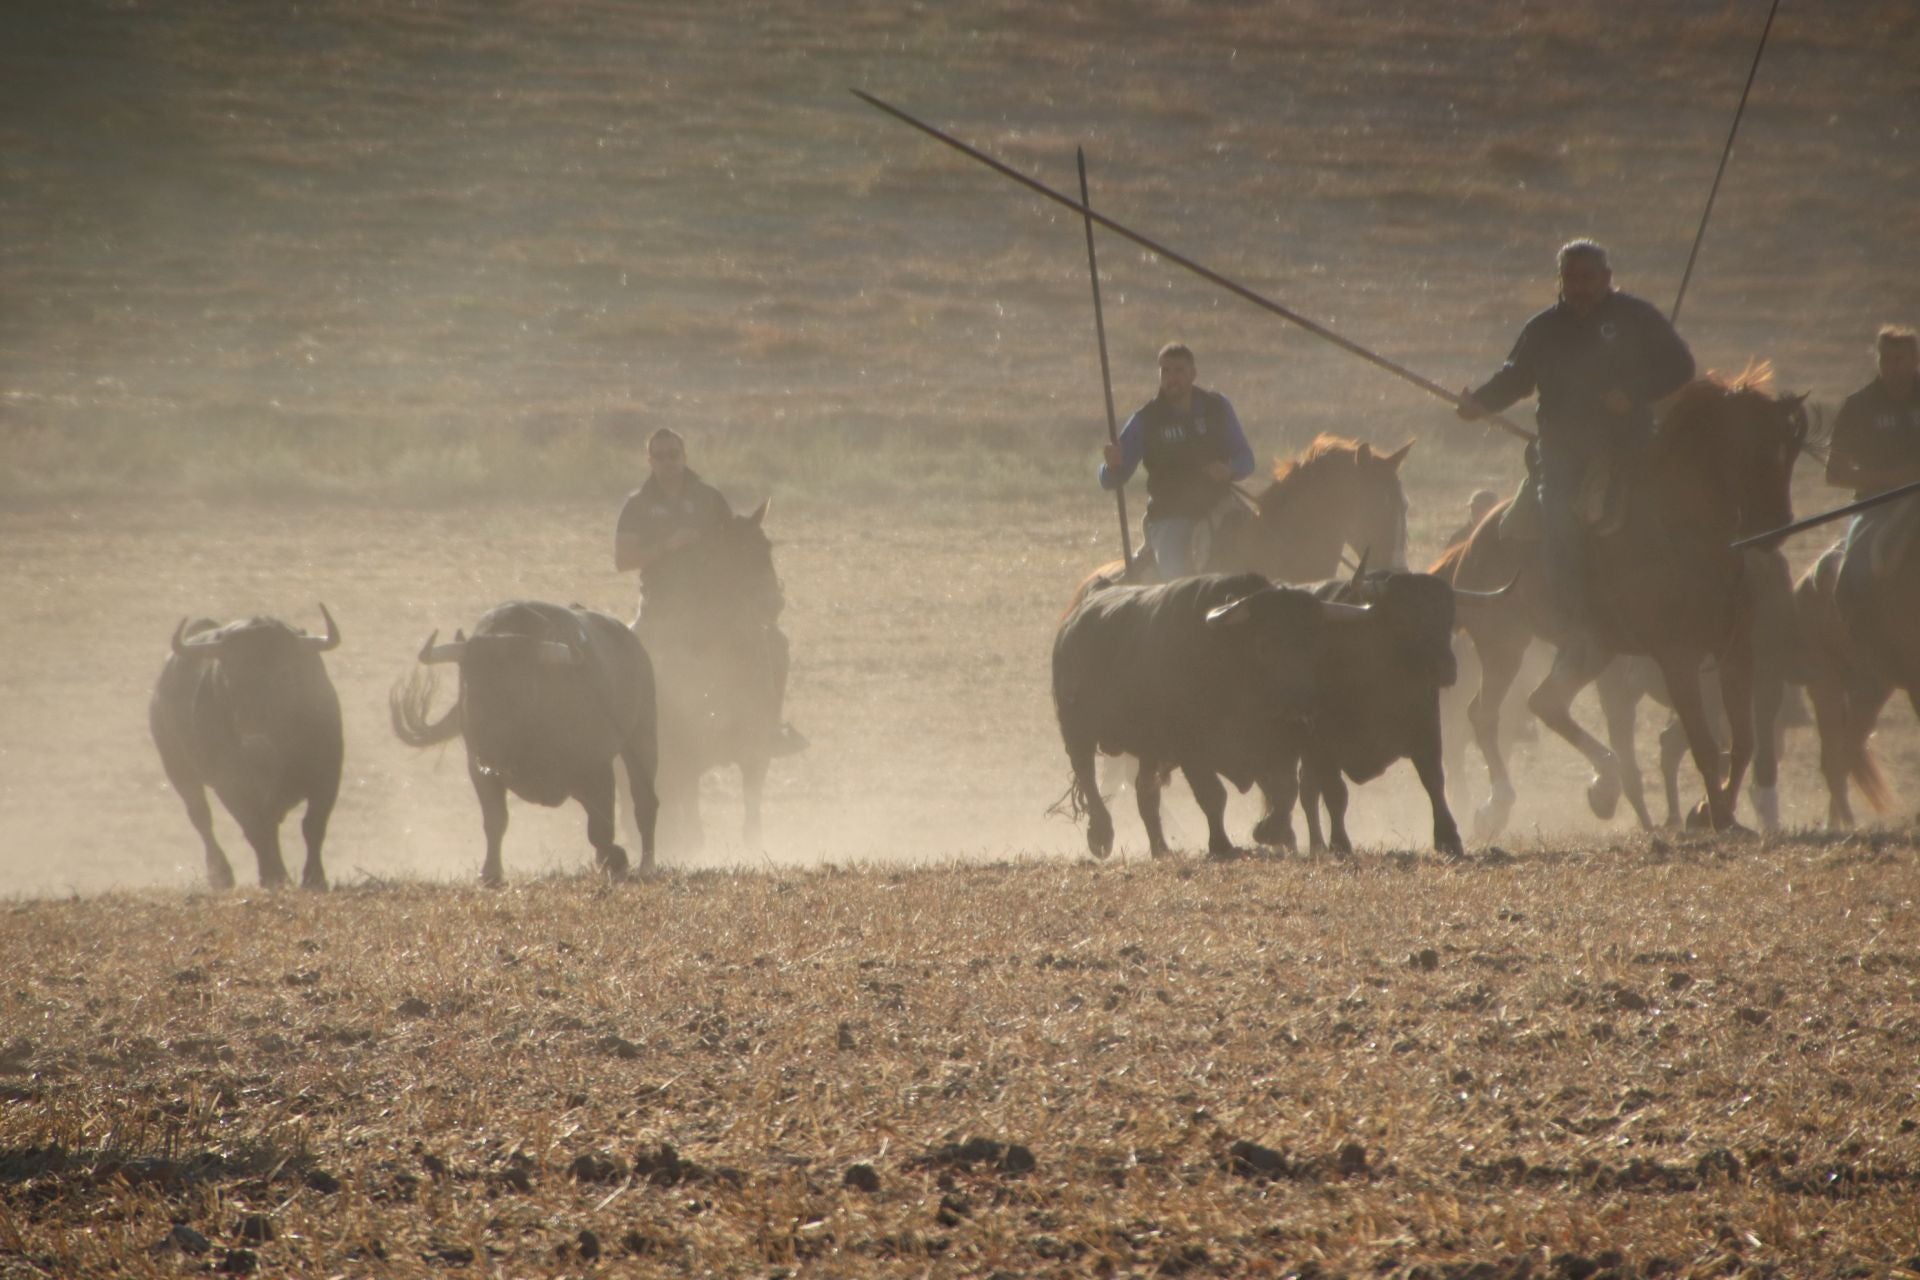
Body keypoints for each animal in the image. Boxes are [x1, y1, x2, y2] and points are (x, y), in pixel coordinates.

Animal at [151, 610, 347, 890]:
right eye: (229, 677)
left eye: (285, 673)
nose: (254, 740)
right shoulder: (231, 785)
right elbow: (255, 828)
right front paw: (273, 877)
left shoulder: (328, 773)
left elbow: (313, 825)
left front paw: (314, 878)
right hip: (179, 770)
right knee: (202, 819)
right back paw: (221, 875)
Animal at [389, 602, 660, 886]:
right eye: (468, 682)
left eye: (520, 686)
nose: (488, 743)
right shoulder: (479, 771)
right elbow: (495, 821)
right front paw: (490, 872)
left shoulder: (597, 769)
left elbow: (601, 829)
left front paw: (617, 861)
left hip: (642, 739)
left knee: (645, 803)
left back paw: (646, 865)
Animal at [637, 506, 787, 855]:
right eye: (737, 552)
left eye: (768, 547)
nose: (775, 603)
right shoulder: (686, 752)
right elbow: (691, 822)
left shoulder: (756, 748)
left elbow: (752, 818)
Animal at [1443, 370, 1812, 836]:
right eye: (1755, 449)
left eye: (1791, 451)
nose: (1776, 526)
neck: (1688, 534)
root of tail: (1475, 541)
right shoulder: (1677, 657)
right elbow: (1705, 745)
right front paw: (1716, 815)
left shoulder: (1735, 654)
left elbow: (1742, 742)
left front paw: (1713, 812)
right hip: (1504, 644)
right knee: (1486, 715)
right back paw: (1500, 805)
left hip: (1592, 649)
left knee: (1545, 702)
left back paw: (1603, 785)